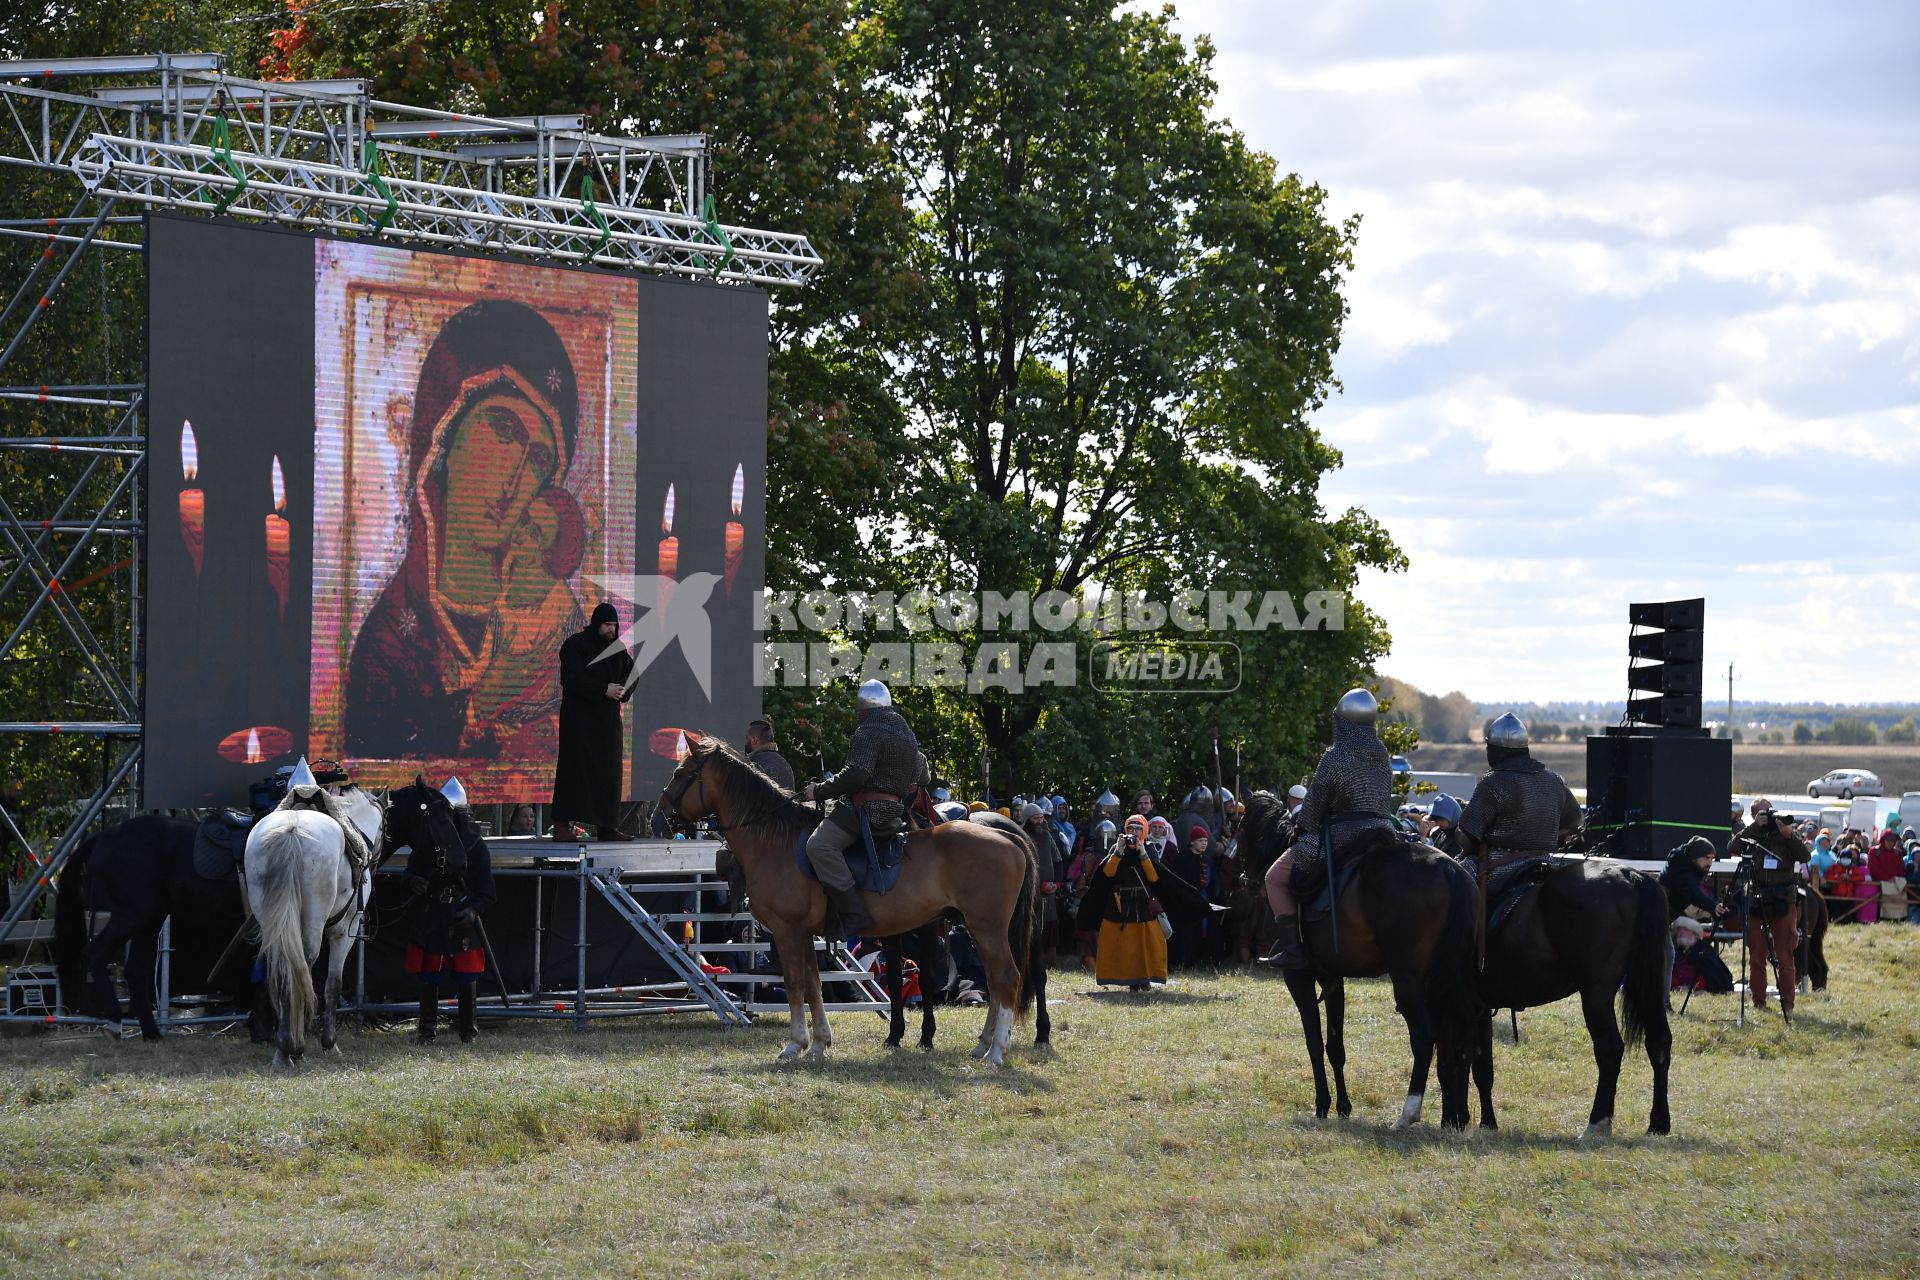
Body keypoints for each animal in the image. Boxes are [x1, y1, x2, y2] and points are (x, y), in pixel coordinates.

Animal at [54, 821, 259, 1043]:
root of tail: (105, 835)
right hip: (135, 913)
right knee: (97, 953)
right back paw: (115, 1020)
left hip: (150, 919)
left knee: (134, 970)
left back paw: (151, 1033)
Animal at [243, 771, 385, 1074]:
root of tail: (291, 831)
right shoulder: (344, 933)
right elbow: (332, 984)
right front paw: (329, 1044)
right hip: (313, 924)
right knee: (302, 966)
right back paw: (292, 1048)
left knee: (283, 965)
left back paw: (284, 1049)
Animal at [668, 736, 1044, 1066]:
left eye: (679, 774)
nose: (661, 816)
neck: (776, 841)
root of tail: (1008, 836)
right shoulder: (807, 935)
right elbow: (814, 985)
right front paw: (819, 1044)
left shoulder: (788, 932)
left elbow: (795, 984)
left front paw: (794, 1045)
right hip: (981, 929)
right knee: (996, 981)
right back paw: (984, 1045)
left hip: (987, 928)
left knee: (1007, 978)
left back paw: (997, 1050)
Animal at [1236, 794, 1474, 1136]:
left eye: (1241, 830)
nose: (1245, 881)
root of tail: (1448, 870)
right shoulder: (1334, 978)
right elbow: (1335, 1045)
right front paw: (1343, 1107)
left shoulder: (1298, 976)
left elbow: (1313, 1041)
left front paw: (1322, 1106)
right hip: (1449, 979)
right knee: (1462, 1036)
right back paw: (1457, 1118)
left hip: (1408, 980)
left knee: (1424, 1035)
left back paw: (1408, 1113)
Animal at [1474, 855, 1674, 1136]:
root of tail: (1628, 875)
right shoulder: (1479, 1007)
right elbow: (1483, 1067)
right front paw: (1488, 1123)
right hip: (1647, 987)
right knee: (1659, 1042)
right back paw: (1658, 1123)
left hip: (1596, 993)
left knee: (1610, 1049)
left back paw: (1596, 1123)